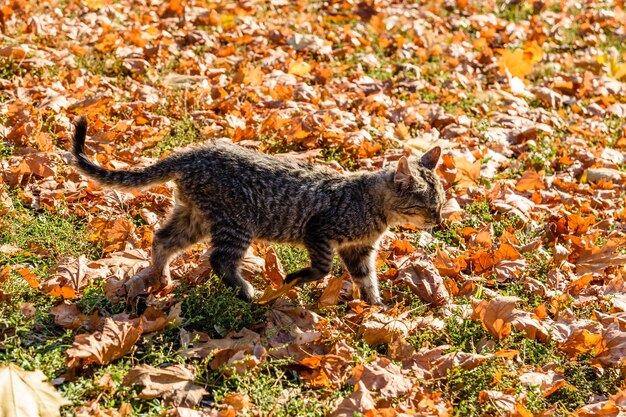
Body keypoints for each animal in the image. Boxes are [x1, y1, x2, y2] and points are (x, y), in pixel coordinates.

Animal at [72, 115, 444, 304]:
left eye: (440, 205)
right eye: (427, 207)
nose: (439, 222)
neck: (372, 206)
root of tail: (193, 152)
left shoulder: (359, 250)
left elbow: (367, 280)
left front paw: (375, 308)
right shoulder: (320, 231)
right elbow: (322, 268)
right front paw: (295, 279)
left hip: (195, 217)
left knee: (162, 239)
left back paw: (161, 279)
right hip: (236, 224)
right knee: (219, 259)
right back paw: (245, 291)